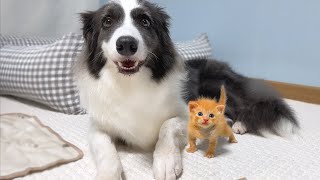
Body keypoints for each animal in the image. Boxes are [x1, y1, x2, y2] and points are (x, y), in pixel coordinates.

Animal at [74, 0, 298, 180]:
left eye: (145, 21)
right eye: (107, 21)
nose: (127, 44)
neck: (131, 84)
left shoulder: (184, 113)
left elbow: (167, 126)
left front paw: (165, 162)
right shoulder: (98, 125)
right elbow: (104, 146)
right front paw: (107, 174)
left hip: (214, 85)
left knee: (242, 108)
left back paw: (239, 124)